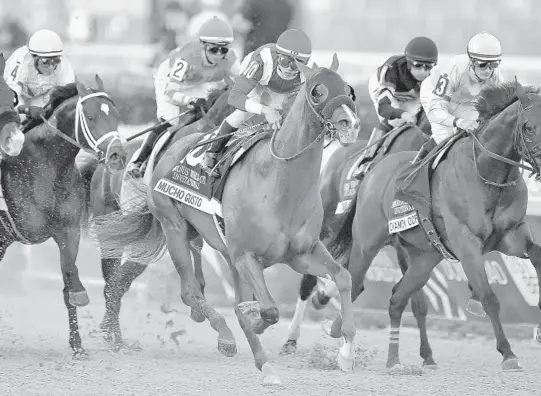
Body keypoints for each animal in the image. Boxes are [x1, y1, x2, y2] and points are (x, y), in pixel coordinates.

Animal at [6, 76, 124, 358]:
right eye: (90, 116)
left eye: (116, 115)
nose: (117, 156)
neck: (46, 168)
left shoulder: (68, 231)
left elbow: (69, 274)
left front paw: (77, 345)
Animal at [326, 82, 541, 372]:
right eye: (529, 127)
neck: (487, 172)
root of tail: (372, 172)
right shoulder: (467, 243)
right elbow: (488, 297)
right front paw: (508, 354)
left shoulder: (511, 234)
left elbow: (537, 256)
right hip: (366, 244)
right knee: (355, 284)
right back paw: (343, 347)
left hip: (425, 257)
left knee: (398, 297)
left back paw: (395, 360)